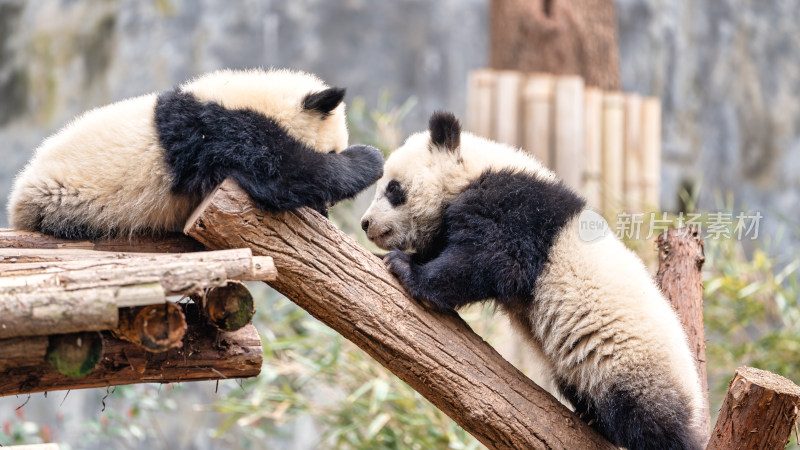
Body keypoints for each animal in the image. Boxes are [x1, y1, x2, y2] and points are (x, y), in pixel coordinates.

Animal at [8, 67, 384, 239]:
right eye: (333, 148)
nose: (329, 207)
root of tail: (17, 204)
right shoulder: (221, 133)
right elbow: (283, 173)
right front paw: (369, 158)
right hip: (67, 200)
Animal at [362, 110, 708, 450]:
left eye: (393, 189)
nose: (366, 223)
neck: (470, 172)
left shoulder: (513, 207)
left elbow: (495, 260)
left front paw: (406, 268)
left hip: (634, 364)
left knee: (655, 425)